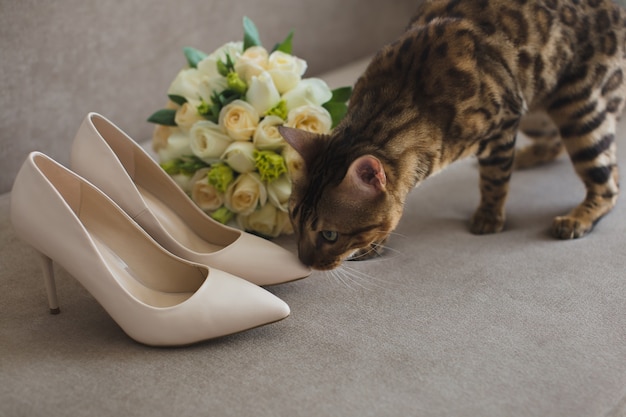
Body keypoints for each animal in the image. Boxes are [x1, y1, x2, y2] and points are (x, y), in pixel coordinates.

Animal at [278, 0, 624, 270]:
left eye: (330, 235)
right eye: (293, 218)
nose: (303, 261)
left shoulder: (504, 123)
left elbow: (494, 180)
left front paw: (488, 217)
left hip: (578, 107)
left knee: (608, 183)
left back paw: (576, 219)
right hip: (538, 109)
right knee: (558, 146)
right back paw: (527, 157)